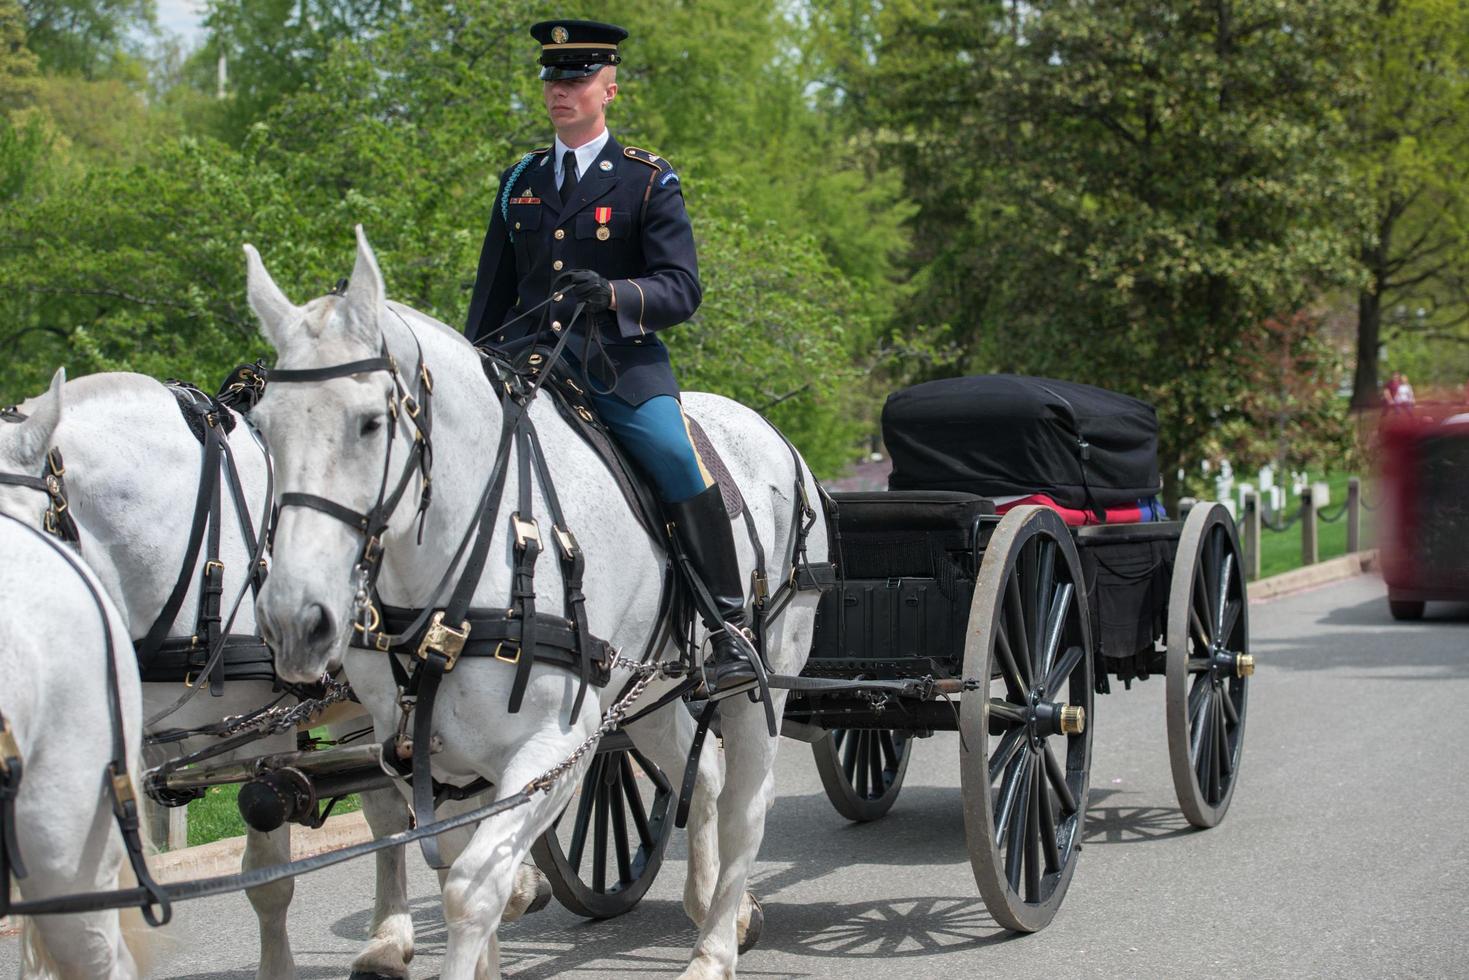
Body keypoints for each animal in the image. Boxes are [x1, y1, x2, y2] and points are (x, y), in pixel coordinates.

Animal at [251, 226, 828, 975]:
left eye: (370, 423)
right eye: (263, 426)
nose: (295, 621)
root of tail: (779, 443)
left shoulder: (557, 748)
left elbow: (473, 888)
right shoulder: (422, 753)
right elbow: (460, 873)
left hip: (760, 681)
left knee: (745, 805)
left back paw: (713, 949)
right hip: (644, 696)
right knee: (700, 775)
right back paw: (718, 912)